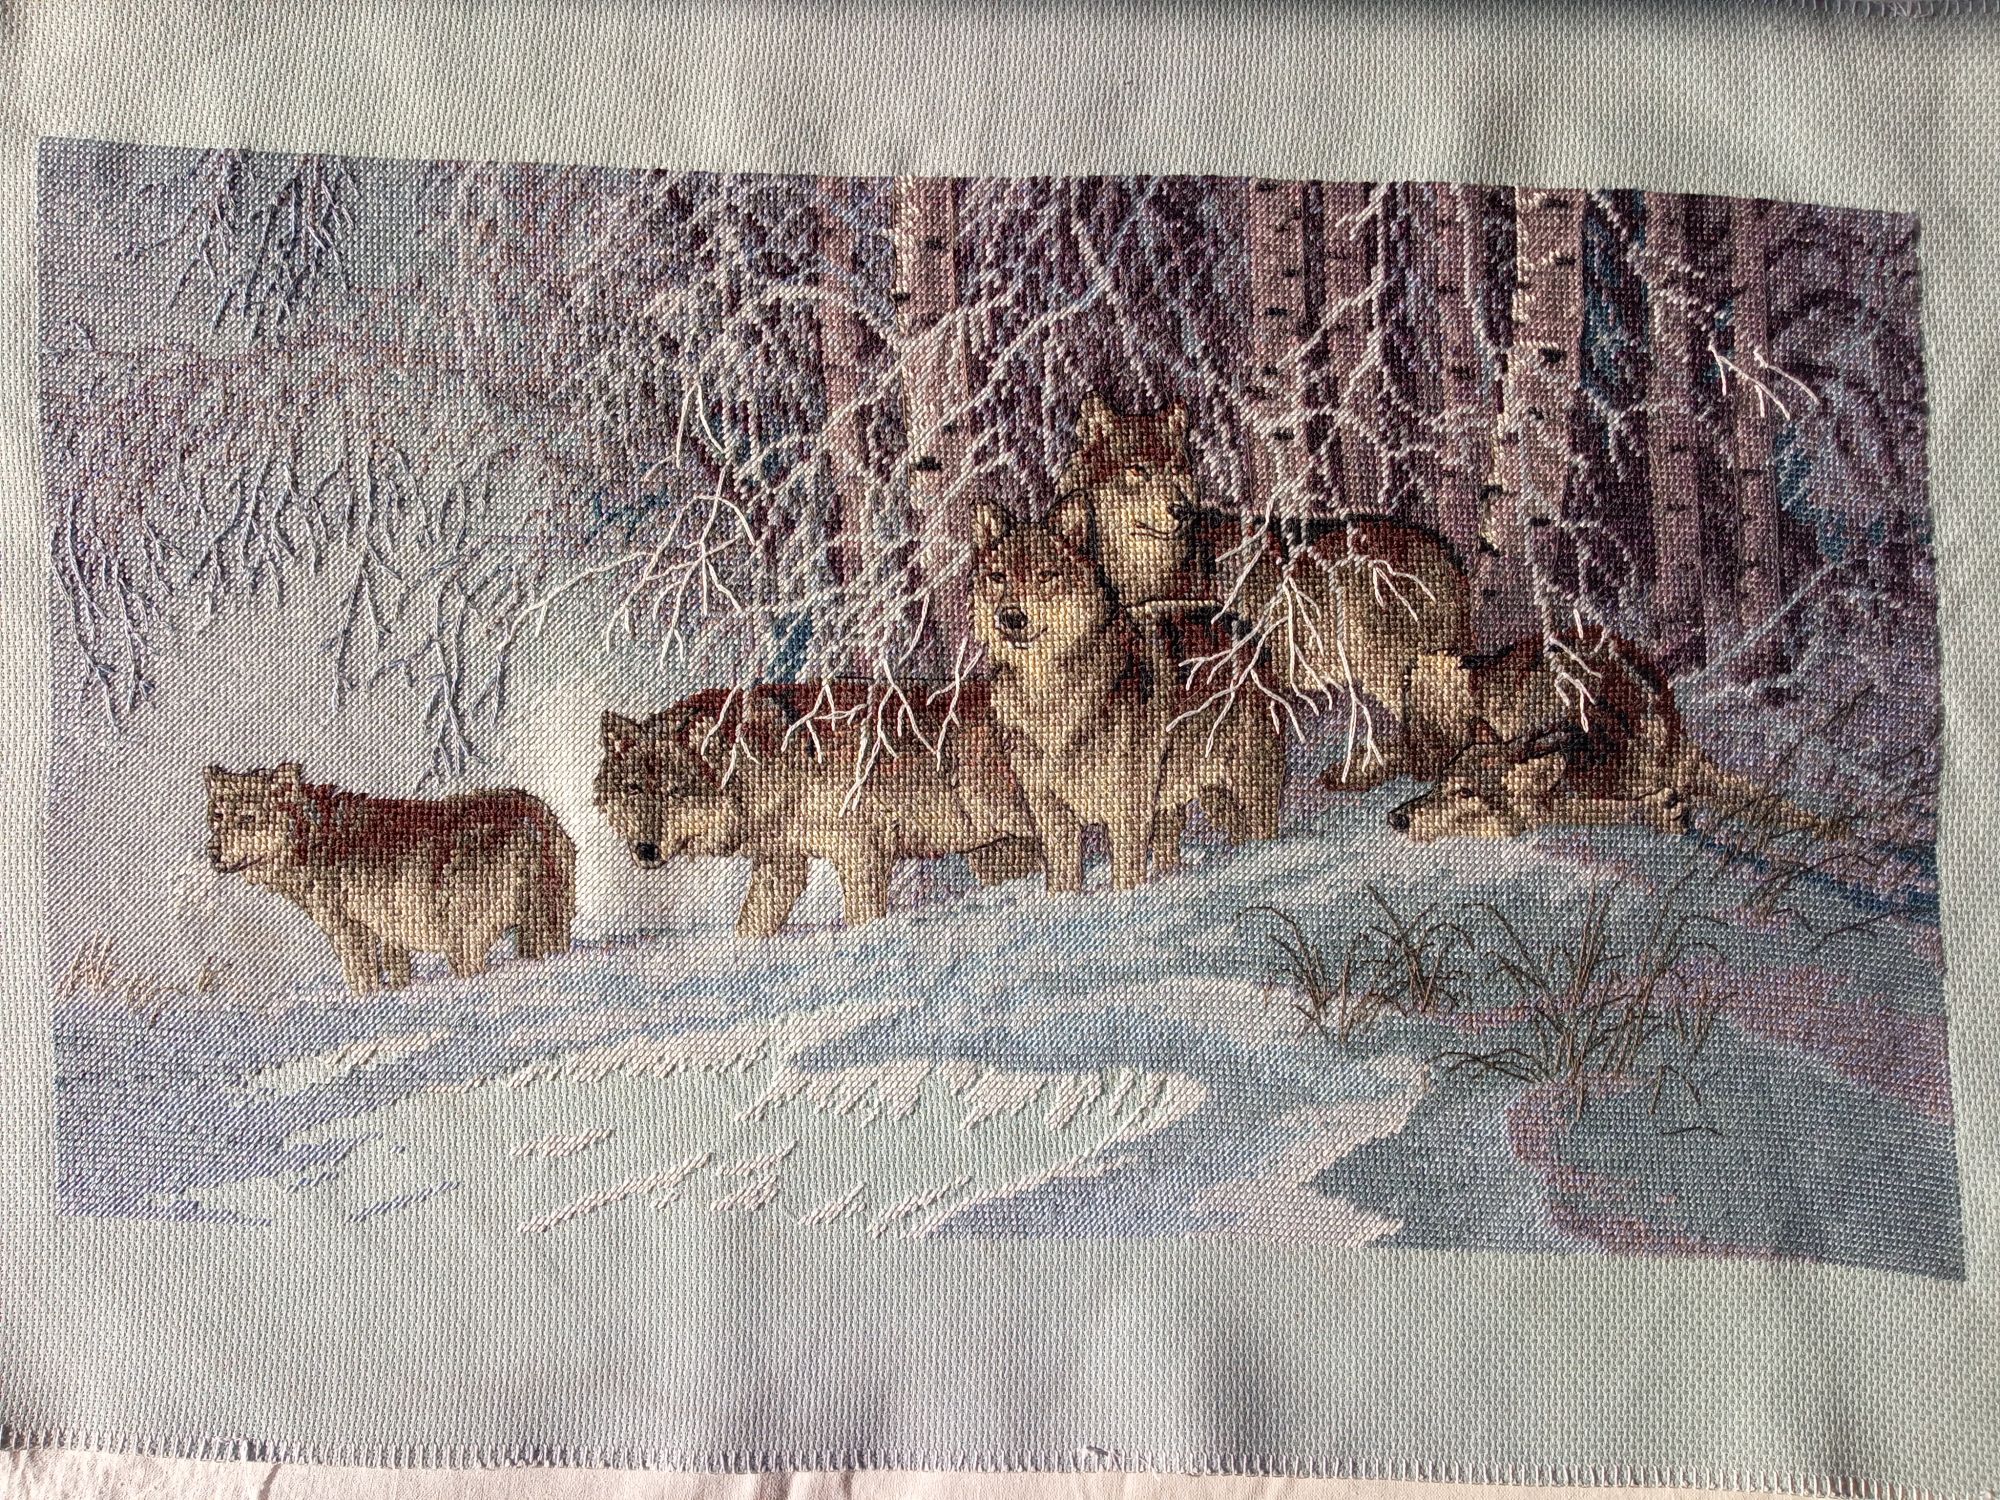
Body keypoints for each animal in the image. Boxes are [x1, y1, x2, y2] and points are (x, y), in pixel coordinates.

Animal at [203, 764, 574, 993]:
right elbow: (397, 976)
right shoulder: (389, 934)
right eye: (218, 817)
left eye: (249, 818)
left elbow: (362, 982)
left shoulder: (350, 930)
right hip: (543, 927)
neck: (313, 837)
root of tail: (534, 821)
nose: (214, 854)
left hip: (463, 940)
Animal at [595, 681, 1042, 938]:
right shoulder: (781, 863)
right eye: (634, 789)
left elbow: (863, 917)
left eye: (676, 792)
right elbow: (750, 925)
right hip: (996, 854)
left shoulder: (862, 854)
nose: (645, 850)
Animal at [970, 501, 1285, 891]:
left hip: (1248, 789)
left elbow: (1126, 877)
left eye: (1046, 576)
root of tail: (1248, 630)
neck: (1049, 702)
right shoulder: (1051, 816)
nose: (1011, 617)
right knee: (1174, 851)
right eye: (998, 577)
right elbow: (1062, 880)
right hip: (1190, 799)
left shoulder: (1127, 812)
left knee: (1261, 832)